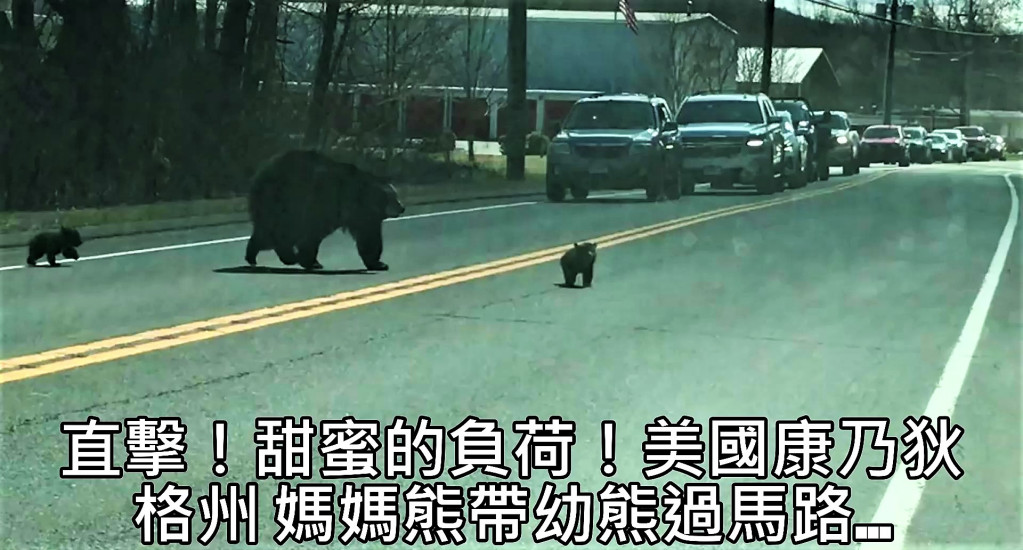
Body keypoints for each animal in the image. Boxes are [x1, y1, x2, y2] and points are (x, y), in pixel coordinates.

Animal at [245, 149, 405, 269]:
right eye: (393, 197)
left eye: (396, 194)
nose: (402, 208)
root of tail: (261, 172)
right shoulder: (325, 203)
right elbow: (312, 233)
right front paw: (311, 261)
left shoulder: (361, 216)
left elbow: (368, 237)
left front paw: (378, 263)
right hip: (281, 200)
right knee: (276, 231)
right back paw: (262, 255)